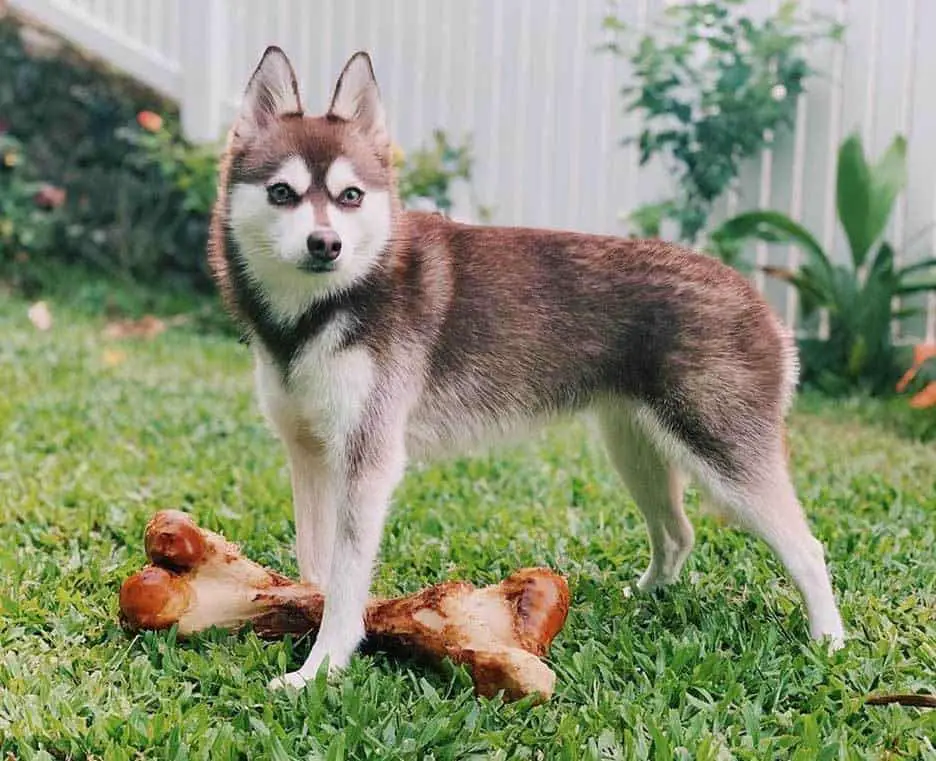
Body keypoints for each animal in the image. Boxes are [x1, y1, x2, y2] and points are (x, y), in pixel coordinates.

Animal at [210, 46, 848, 688]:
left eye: (350, 197)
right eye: (282, 192)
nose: (326, 244)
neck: (325, 309)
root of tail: (761, 304)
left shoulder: (369, 461)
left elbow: (346, 583)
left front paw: (319, 669)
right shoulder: (310, 453)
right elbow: (316, 565)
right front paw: (304, 619)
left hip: (722, 458)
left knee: (806, 549)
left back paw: (830, 642)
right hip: (635, 449)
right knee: (677, 533)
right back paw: (641, 599)